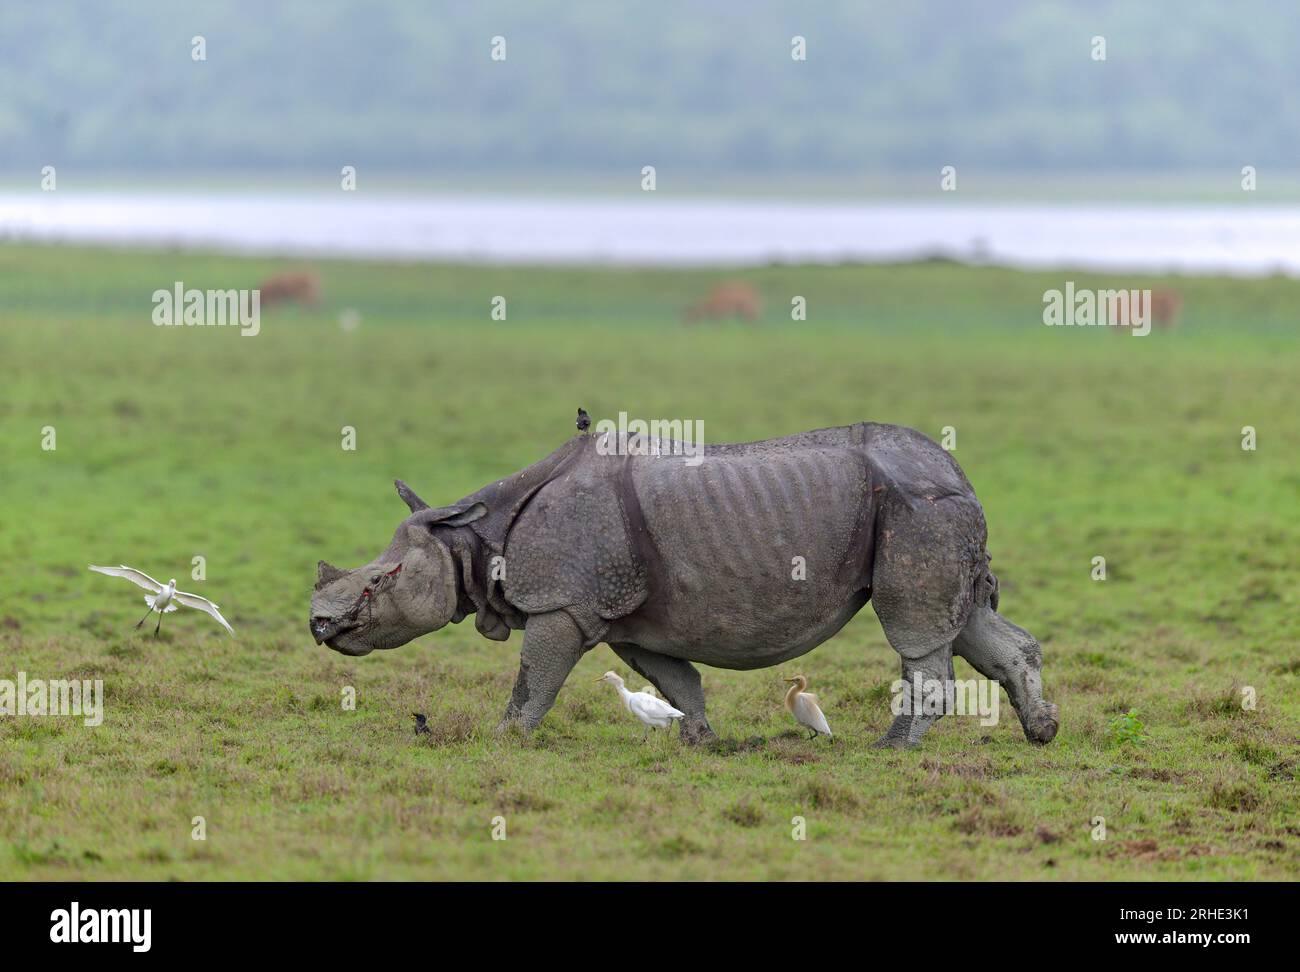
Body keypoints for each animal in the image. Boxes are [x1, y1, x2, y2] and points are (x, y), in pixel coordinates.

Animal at [309, 422, 1058, 748]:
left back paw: (892, 747)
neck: (474, 537)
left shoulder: (564, 604)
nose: (319, 626)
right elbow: (676, 679)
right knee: (969, 622)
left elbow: (535, 677)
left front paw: (506, 737)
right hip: (931, 506)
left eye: (382, 580)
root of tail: (958, 472)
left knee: (916, 628)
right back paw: (1042, 731)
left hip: (915, 505)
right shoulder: (625, 617)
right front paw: (699, 739)